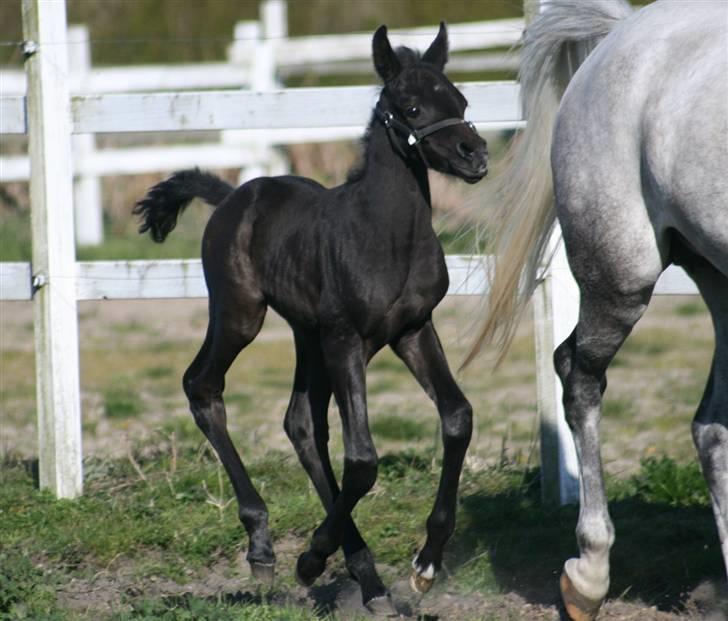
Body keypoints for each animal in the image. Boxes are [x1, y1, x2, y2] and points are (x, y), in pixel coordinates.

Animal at [136, 23, 490, 612]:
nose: (475, 154)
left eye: (461, 101)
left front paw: (425, 564)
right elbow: (363, 459)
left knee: (300, 423)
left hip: (308, 335)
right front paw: (309, 558)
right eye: (412, 107)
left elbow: (457, 417)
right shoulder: (348, 339)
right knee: (201, 385)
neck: (386, 237)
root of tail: (232, 195)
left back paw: (368, 580)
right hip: (242, 314)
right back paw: (266, 547)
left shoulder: (413, 330)